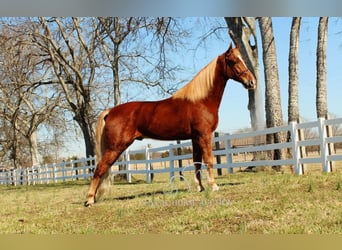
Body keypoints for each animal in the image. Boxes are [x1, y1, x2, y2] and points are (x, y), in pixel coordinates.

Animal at [85, 43, 256, 207]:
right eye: (234, 61)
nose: (252, 82)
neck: (200, 100)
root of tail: (110, 111)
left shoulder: (195, 138)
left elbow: (197, 162)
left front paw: (200, 187)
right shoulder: (204, 135)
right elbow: (208, 159)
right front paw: (213, 186)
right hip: (114, 148)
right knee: (99, 169)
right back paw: (89, 200)